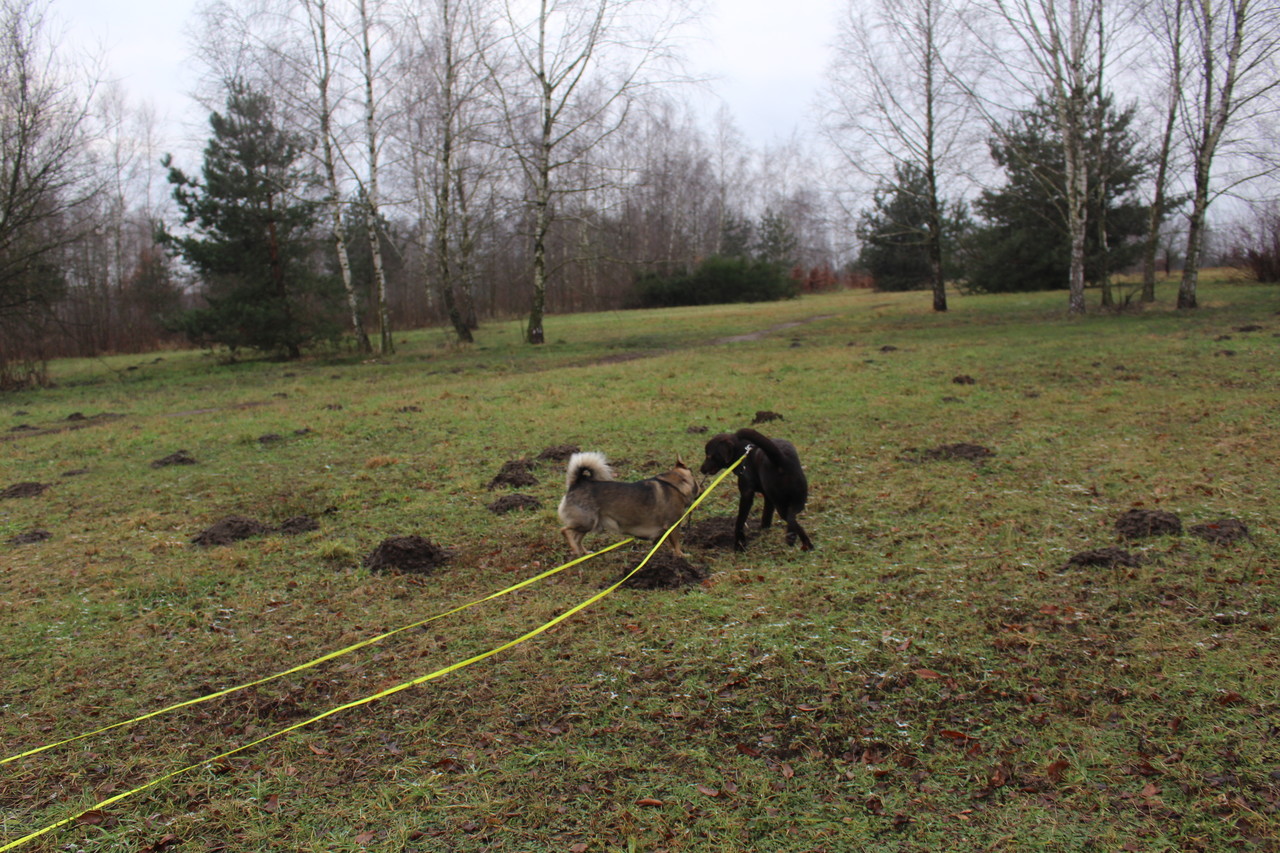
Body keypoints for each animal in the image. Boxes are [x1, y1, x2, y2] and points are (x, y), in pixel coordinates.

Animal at [558, 452, 699, 558]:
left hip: (588, 525)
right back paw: (575, 549)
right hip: (586, 521)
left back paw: (583, 552)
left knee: (577, 538)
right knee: (565, 531)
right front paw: (681, 555)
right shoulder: (673, 525)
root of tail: (577, 483)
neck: (676, 484)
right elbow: (676, 543)